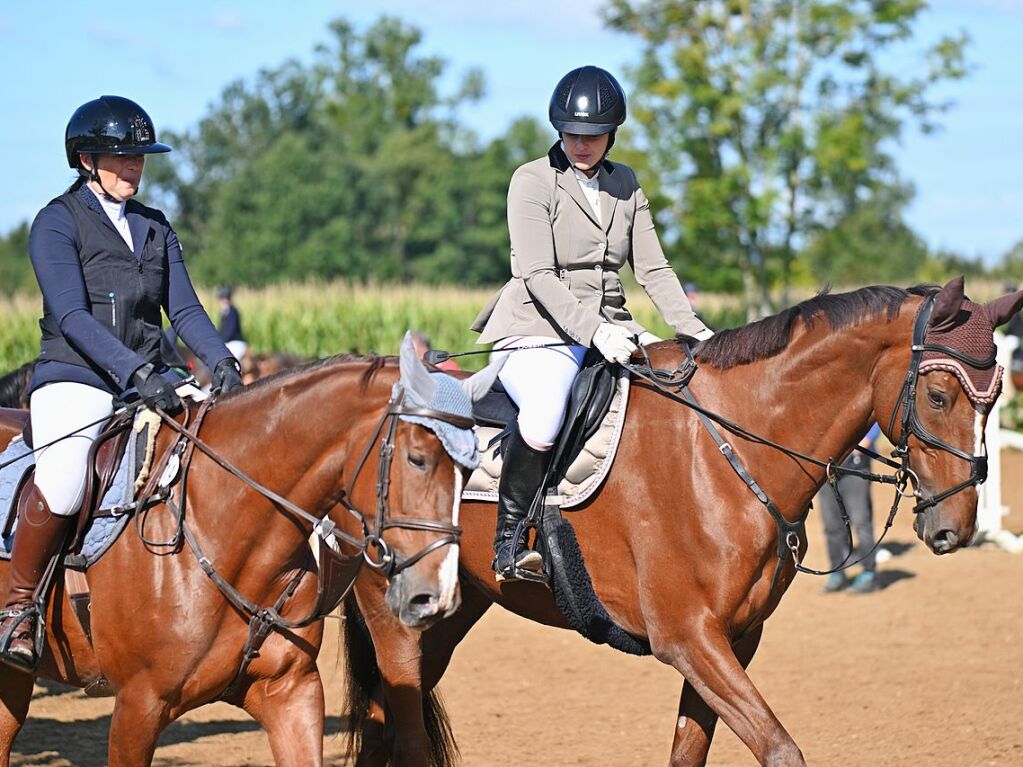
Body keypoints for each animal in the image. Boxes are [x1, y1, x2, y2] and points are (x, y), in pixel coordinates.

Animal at [341, 280, 1023, 767]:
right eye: (938, 397)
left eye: (994, 400)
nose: (955, 527)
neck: (730, 448)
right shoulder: (688, 638)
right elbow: (781, 750)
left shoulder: (733, 640)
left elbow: (690, 751)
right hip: (394, 617)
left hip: (449, 616)